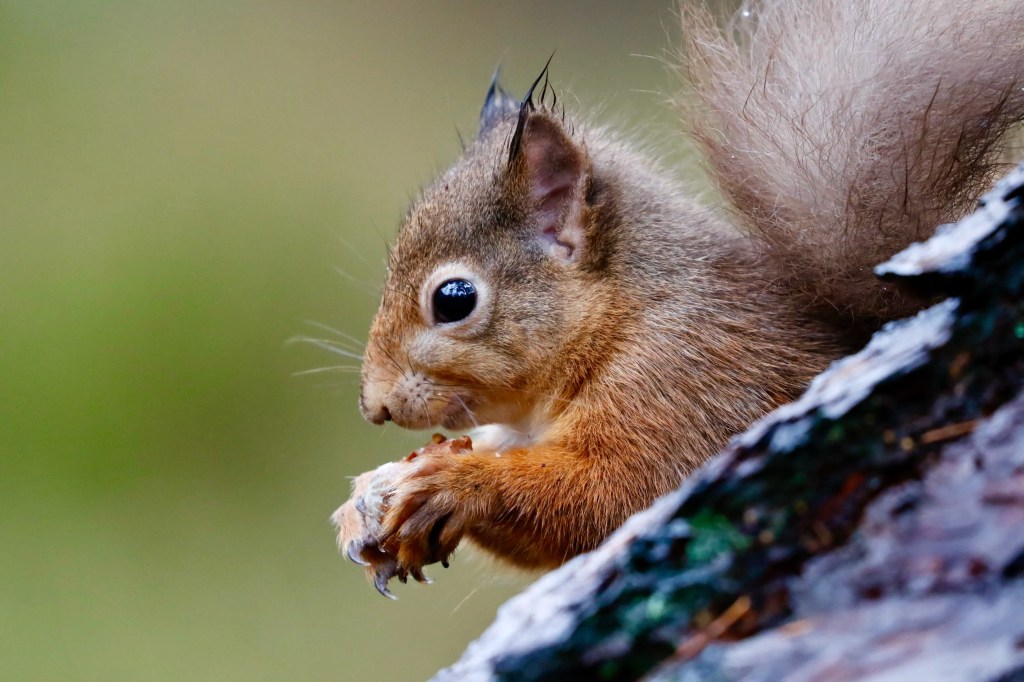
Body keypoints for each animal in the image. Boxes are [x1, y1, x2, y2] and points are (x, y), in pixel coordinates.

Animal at [334, 0, 1024, 591]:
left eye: (454, 299)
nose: (374, 407)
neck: (623, 318)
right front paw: (363, 502)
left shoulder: (686, 381)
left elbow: (611, 497)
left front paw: (452, 481)